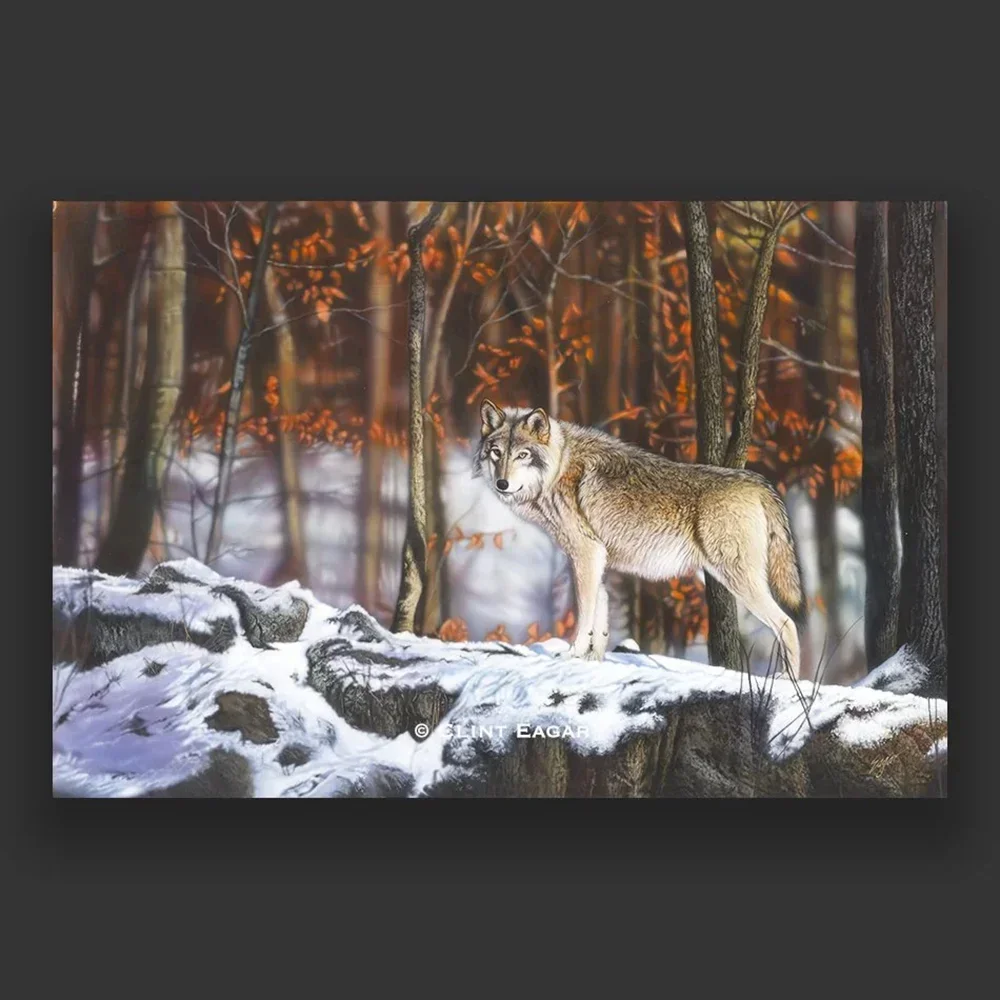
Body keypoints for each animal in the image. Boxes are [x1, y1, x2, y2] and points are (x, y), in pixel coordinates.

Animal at [474, 400, 806, 677]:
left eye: (523, 455)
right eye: (497, 453)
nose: (502, 483)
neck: (558, 469)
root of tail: (758, 482)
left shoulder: (586, 553)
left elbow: (585, 613)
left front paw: (572, 654)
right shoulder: (596, 557)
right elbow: (600, 613)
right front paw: (593, 661)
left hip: (739, 580)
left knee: (787, 624)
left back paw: (788, 681)